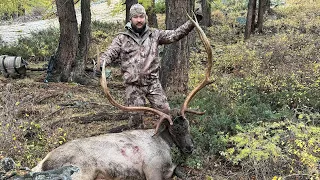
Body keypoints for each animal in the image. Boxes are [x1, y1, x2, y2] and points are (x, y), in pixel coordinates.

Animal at [31, 13, 212, 180]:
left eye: (187, 125)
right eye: (174, 130)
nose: (190, 148)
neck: (168, 151)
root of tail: (42, 163)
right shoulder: (152, 169)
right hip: (81, 171)